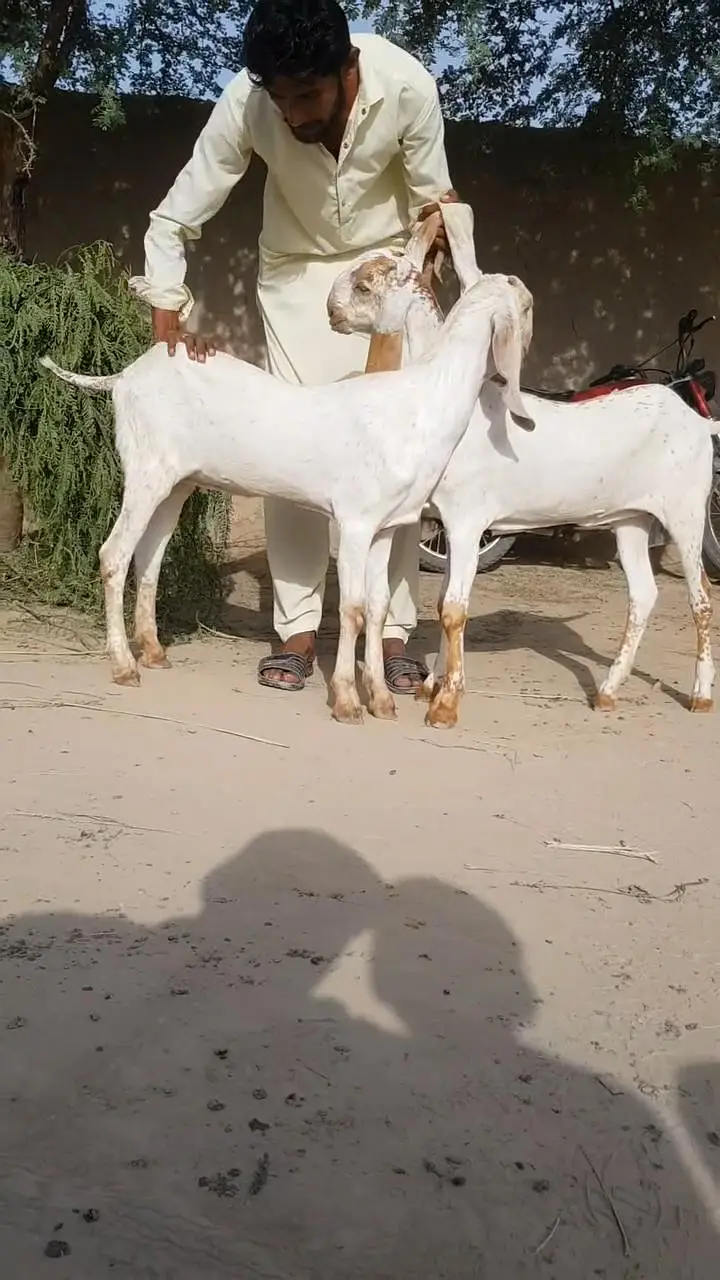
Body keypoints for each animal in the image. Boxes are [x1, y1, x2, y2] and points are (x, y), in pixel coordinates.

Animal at [39, 205, 534, 725]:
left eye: (364, 288)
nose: (332, 313)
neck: (418, 399)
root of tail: (124, 377)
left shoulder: (386, 526)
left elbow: (378, 607)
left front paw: (381, 699)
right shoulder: (355, 522)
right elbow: (354, 608)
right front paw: (346, 700)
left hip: (175, 484)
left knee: (149, 556)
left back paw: (153, 652)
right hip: (143, 474)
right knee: (113, 555)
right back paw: (123, 665)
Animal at [328, 209, 716, 727]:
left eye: (366, 284)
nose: (331, 309)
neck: (451, 395)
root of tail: (699, 422)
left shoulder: (468, 520)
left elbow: (453, 609)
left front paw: (445, 705)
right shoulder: (448, 523)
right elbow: (443, 599)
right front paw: (431, 687)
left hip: (686, 512)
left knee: (701, 599)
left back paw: (700, 695)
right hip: (631, 520)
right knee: (643, 595)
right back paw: (607, 691)